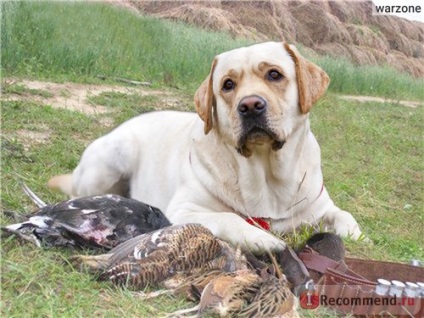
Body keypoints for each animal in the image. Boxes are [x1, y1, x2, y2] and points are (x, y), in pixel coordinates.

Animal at [48, 41, 362, 280]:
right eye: (228, 84)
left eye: (274, 75)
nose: (250, 105)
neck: (266, 173)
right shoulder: (183, 211)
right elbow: (228, 218)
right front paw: (261, 238)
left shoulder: (319, 205)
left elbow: (344, 215)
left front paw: (354, 233)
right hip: (115, 154)